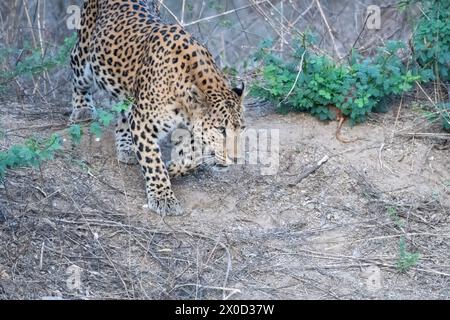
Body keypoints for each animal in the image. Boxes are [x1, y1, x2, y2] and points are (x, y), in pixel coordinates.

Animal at [70, 0, 246, 216]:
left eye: (242, 129)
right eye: (221, 129)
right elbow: (153, 162)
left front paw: (174, 167)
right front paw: (163, 198)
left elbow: (192, 154)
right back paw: (82, 109)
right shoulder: (143, 123)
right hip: (84, 54)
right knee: (76, 68)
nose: (236, 159)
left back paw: (126, 146)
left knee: (124, 112)